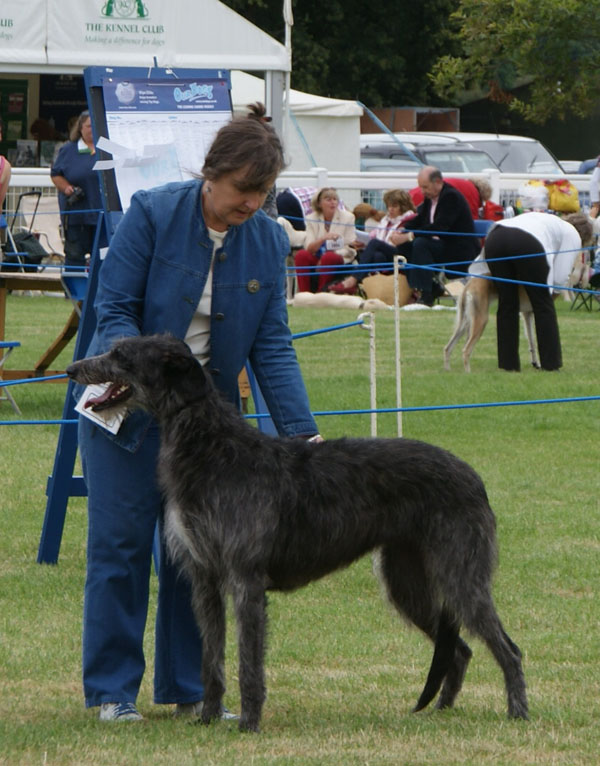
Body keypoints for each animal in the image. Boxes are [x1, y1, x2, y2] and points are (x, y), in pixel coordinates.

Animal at [67, 334, 528, 732]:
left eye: (122, 355)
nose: (73, 369)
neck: (212, 446)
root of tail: (473, 477)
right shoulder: (205, 579)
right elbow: (211, 660)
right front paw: (208, 718)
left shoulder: (246, 579)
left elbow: (248, 662)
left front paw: (249, 724)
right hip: (407, 581)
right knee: (461, 648)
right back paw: (442, 711)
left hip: (459, 573)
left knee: (508, 648)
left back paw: (517, 713)